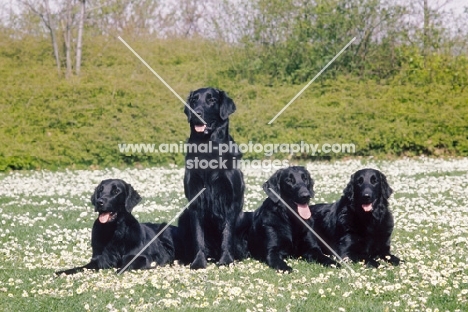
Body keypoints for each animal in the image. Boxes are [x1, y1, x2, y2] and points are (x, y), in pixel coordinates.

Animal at [178, 86, 245, 270]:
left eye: (212, 100)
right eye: (194, 100)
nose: (196, 113)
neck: (207, 149)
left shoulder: (230, 201)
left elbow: (227, 234)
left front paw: (226, 260)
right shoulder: (195, 200)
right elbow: (198, 237)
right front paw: (198, 262)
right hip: (183, 217)